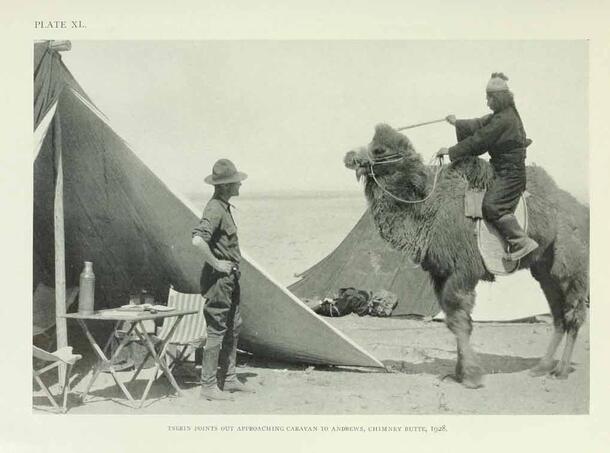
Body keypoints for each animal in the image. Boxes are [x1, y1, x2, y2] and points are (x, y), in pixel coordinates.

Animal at [344, 123, 588, 388]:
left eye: (379, 149)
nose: (349, 157)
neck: (430, 210)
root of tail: (581, 209)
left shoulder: (464, 270)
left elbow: (459, 319)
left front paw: (471, 375)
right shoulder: (440, 274)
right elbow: (454, 319)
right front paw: (459, 373)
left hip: (571, 265)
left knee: (574, 312)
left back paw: (561, 370)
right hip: (544, 268)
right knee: (558, 313)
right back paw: (542, 367)